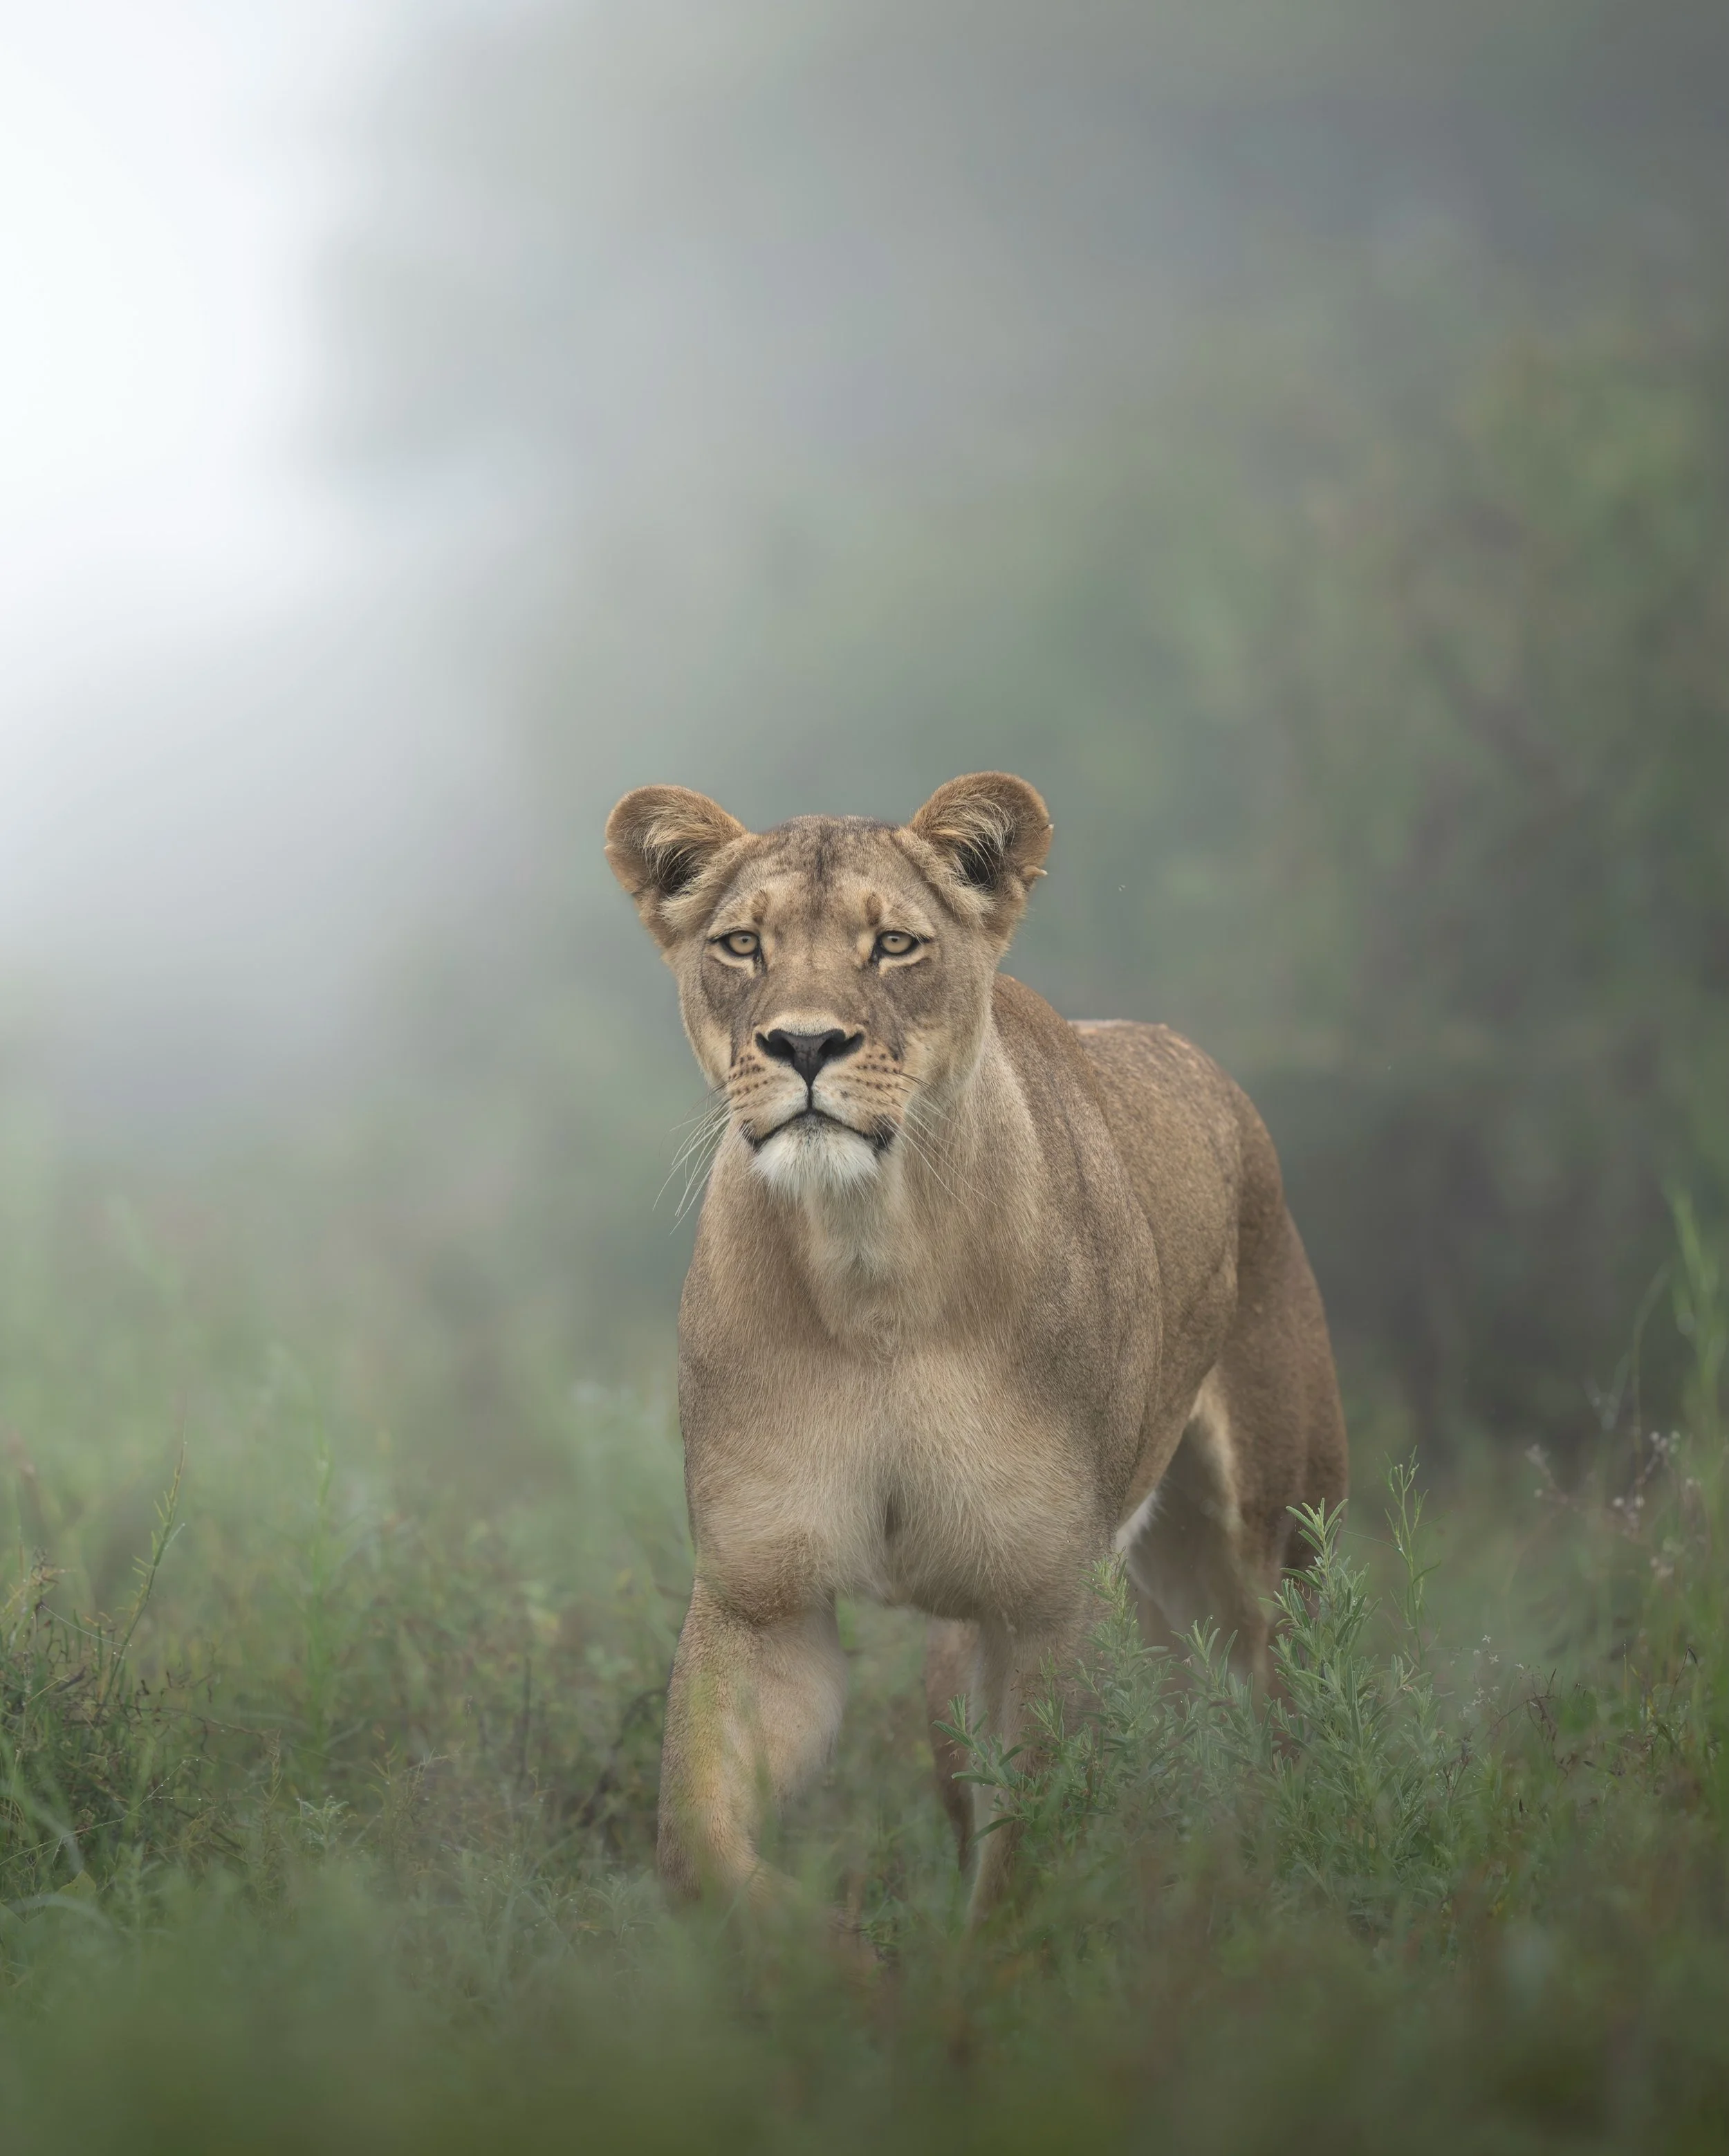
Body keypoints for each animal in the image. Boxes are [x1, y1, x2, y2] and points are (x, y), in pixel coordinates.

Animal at [603, 771, 1347, 1923]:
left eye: (894, 946)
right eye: (741, 946)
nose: (805, 1046)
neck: (874, 1271)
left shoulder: (1051, 1604)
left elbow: (1027, 1861)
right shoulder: (762, 1597)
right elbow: (702, 1838)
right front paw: (835, 1953)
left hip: (1273, 1545)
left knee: (1279, 1722)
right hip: (978, 1652)